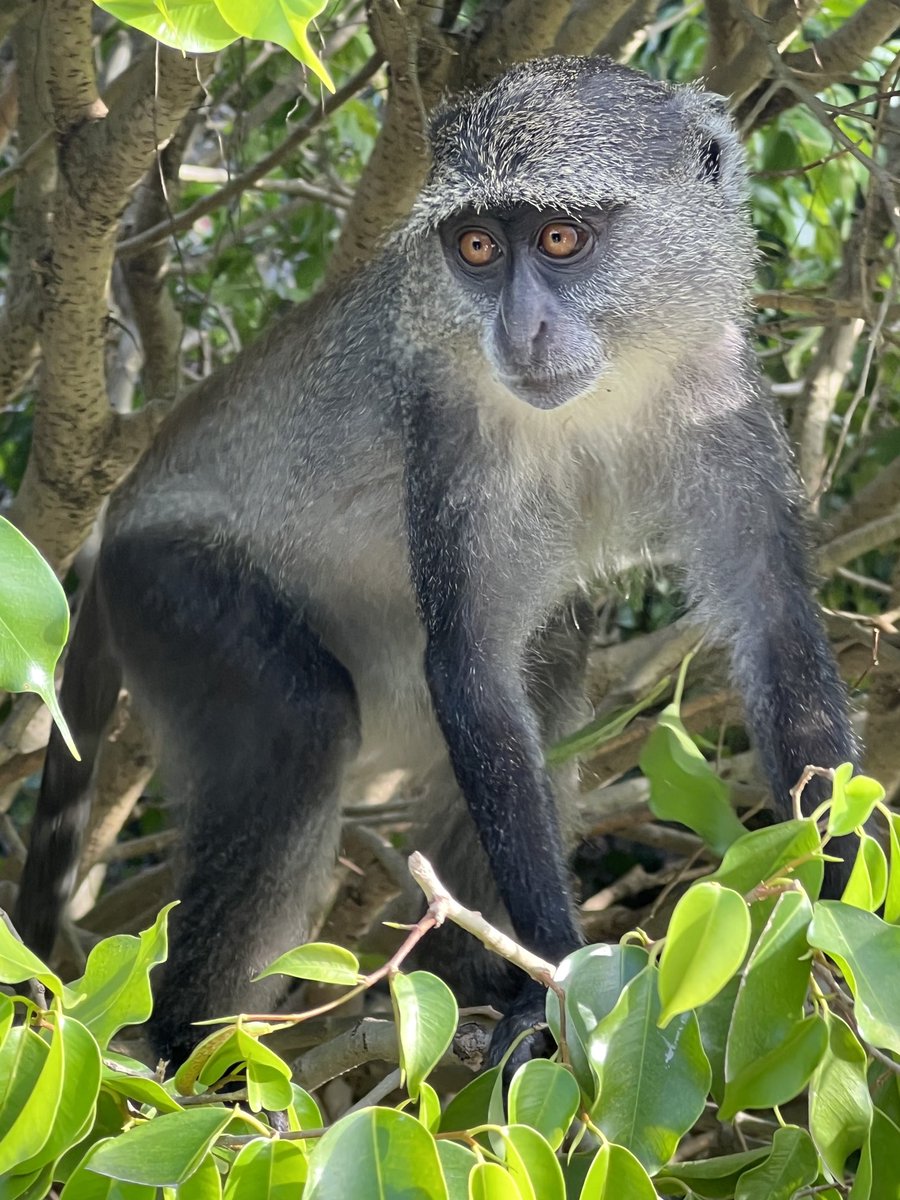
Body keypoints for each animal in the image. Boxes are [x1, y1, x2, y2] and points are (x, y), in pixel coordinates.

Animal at [15, 56, 859, 1071]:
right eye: (478, 249)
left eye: (561, 237)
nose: (521, 333)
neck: (611, 386)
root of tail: (112, 533)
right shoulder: (453, 433)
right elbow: (470, 669)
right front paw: (552, 984)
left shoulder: (721, 396)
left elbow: (774, 625)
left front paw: (832, 921)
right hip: (169, 593)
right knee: (300, 728)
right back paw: (189, 1051)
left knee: (554, 662)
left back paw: (463, 974)